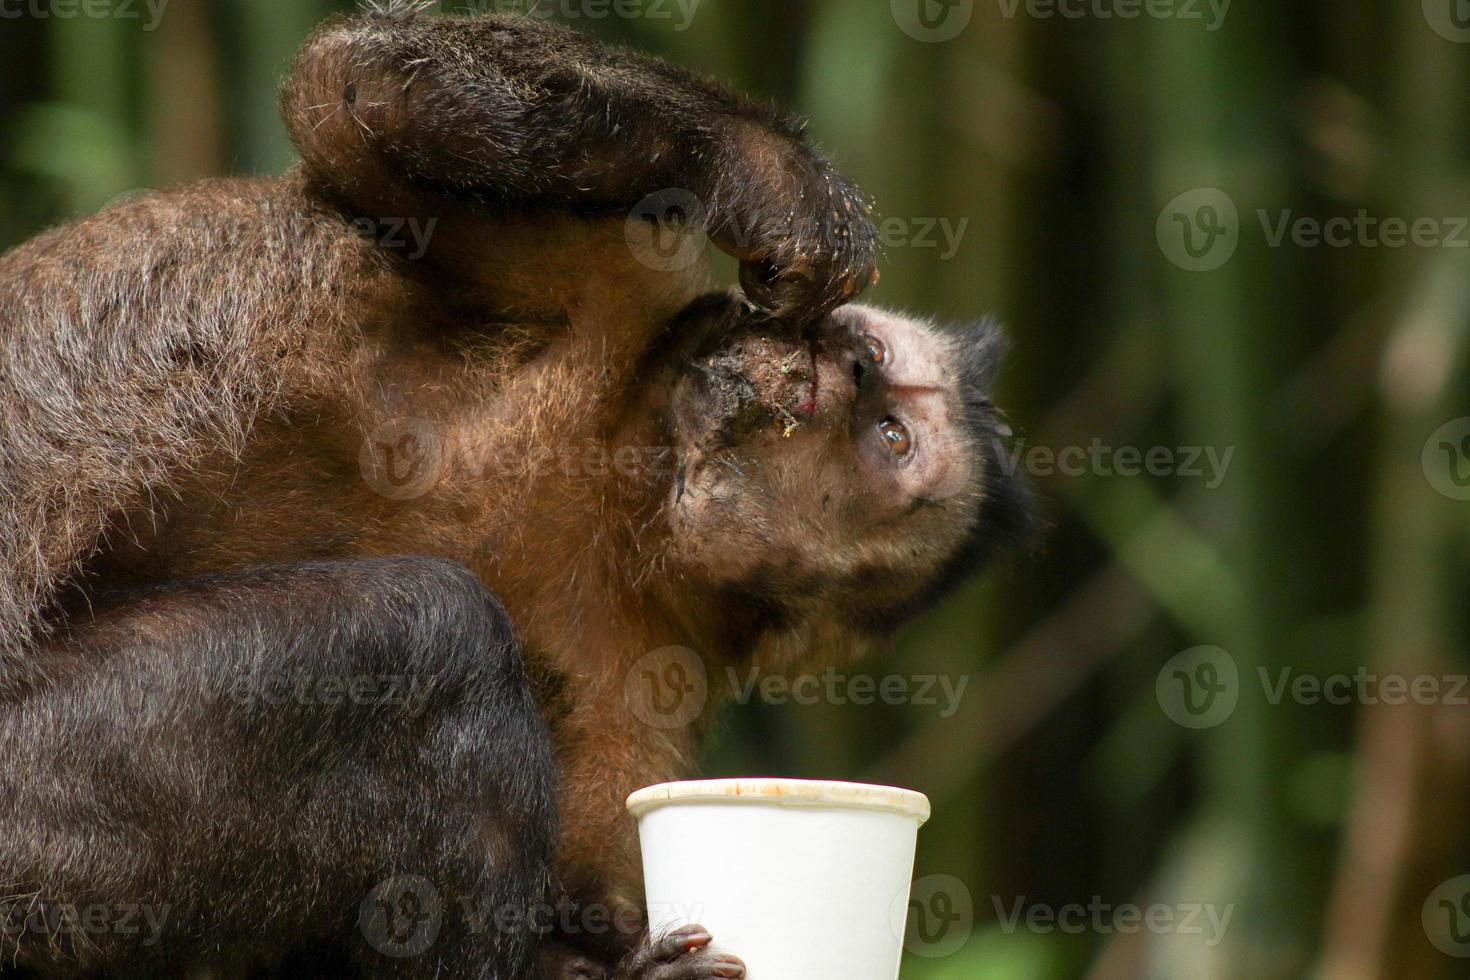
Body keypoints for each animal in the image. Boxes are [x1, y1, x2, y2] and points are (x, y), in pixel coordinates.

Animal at [0, 3, 1034, 975]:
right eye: (869, 358)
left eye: (890, 437)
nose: (844, 363)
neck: (621, 481)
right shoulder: (608, 283)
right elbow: (362, 96)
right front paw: (772, 180)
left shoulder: (648, 691)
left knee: (423, 638)